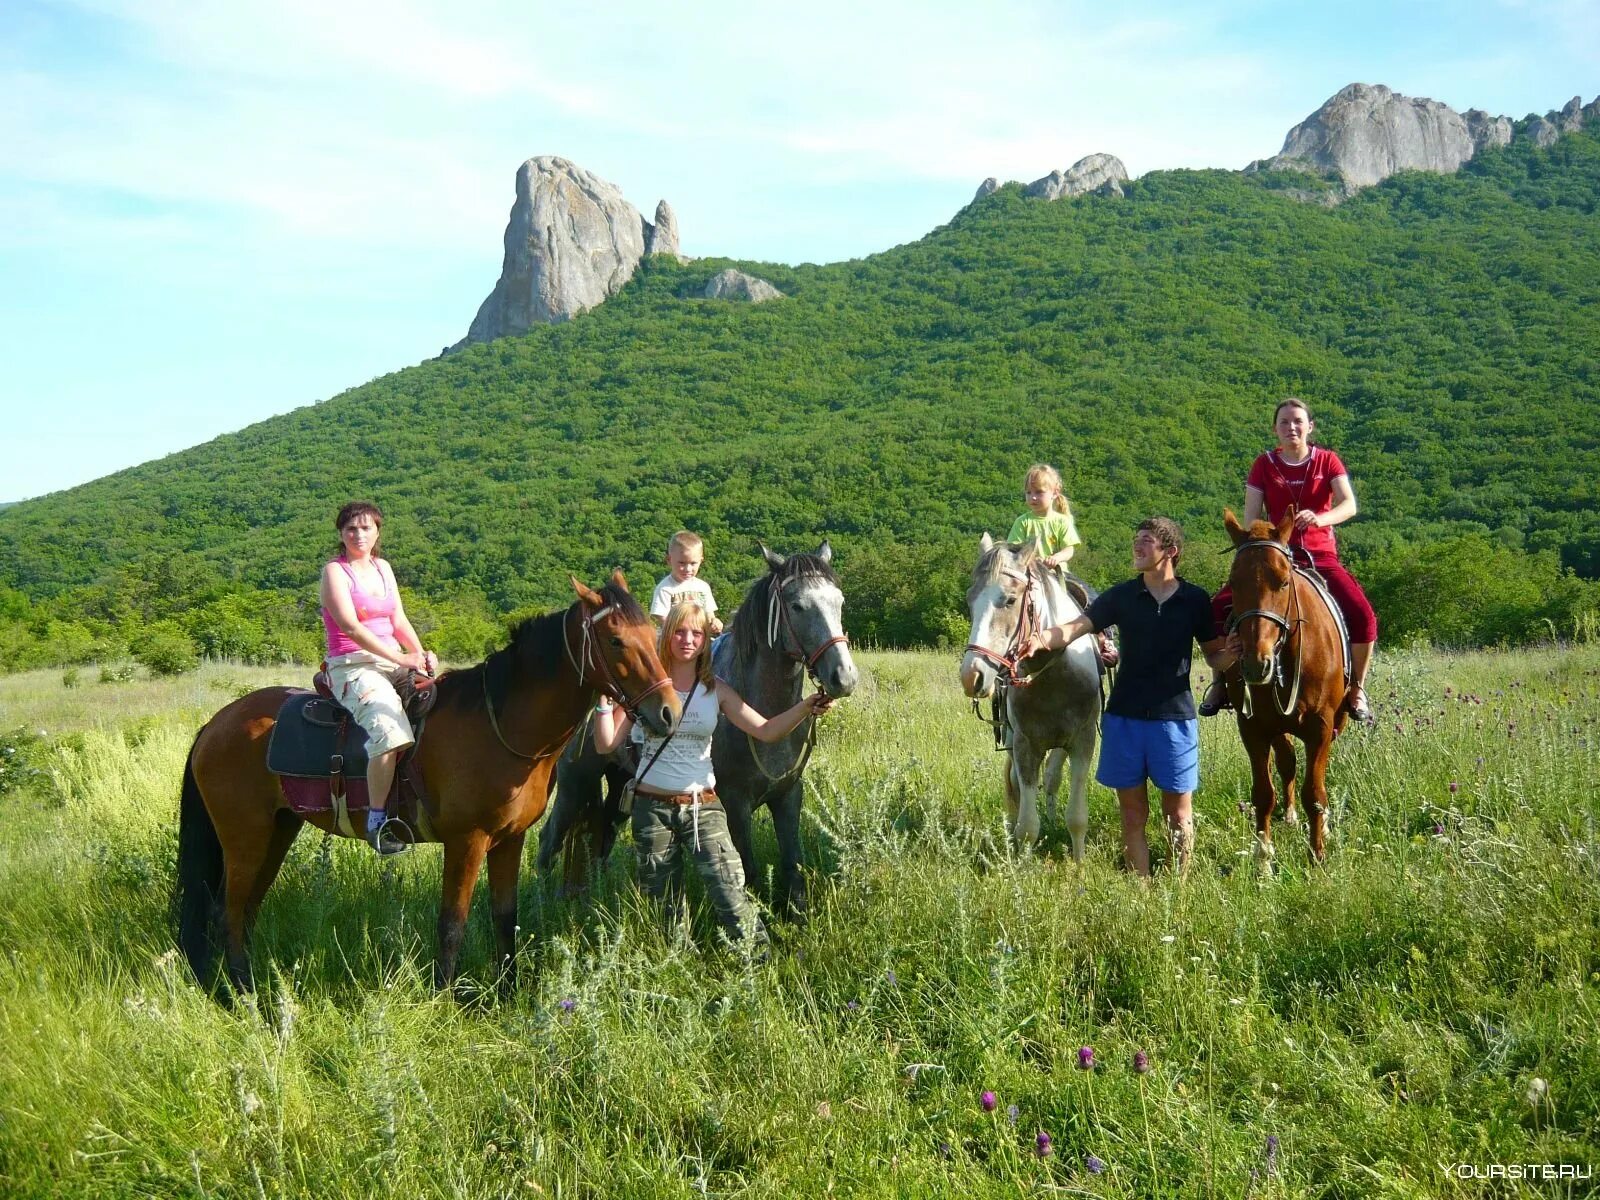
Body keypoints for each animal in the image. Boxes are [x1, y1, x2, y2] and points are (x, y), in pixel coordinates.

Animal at [175, 572, 675, 998]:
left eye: (653, 636)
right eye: (616, 641)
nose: (668, 713)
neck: (500, 725)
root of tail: (214, 725)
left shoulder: (510, 839)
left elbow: (504, 916)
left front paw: (508, 993)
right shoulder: (467, 841)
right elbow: (452, 923)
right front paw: (444, 1001)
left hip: (276, 832)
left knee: (244, 910)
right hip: (246, 839)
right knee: (226, 913)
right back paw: (242, 995)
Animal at [537, 544, 857, 921]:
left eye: (839, 601)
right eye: (797, 606)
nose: (844, 677)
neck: (761, 706)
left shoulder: (788, 795)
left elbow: (792, 861)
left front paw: (798, 918)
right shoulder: (735, 803)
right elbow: (747, 870)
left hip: (618, 784)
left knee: (603, 836)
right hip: (575, 784)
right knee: (550, 839)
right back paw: (543, 907)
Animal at [953, 534, 1107, 857]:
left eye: (1010, 600)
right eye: (970, 600)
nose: (971, 676)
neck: (1054, 675)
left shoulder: (1082, 741)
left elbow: (1076, 816)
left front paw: (1079, 863)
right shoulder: (1025, 744)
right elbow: (1027, 825)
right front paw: (1021, 860)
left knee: (1051, 779)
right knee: (1016, 783)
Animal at [1222, 512, 1350, 870]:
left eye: (1282, 582)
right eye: (1234, 582)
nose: (1256, 665)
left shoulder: (1320, 727)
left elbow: (1315, 794)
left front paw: (1317, 855)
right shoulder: (1253, 727)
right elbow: (1263, 794)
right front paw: (1263, 860)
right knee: (1288, 760)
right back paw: (1290, 816)